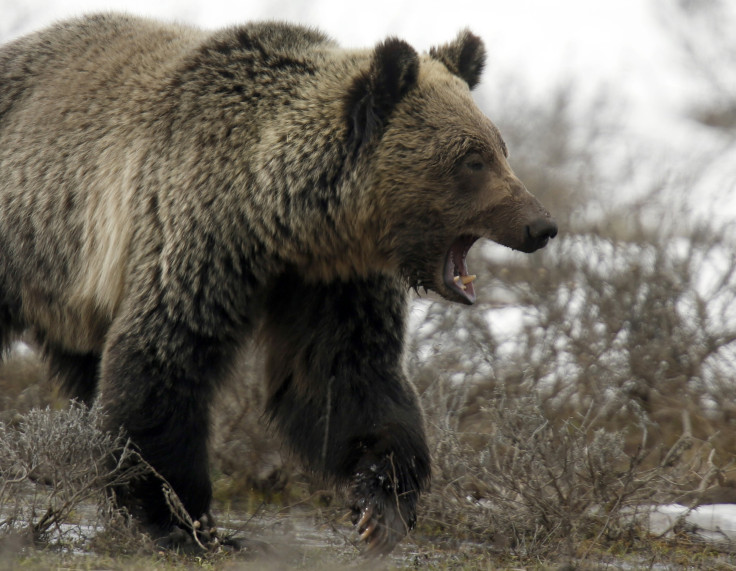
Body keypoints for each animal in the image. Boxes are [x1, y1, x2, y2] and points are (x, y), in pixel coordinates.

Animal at [0, 13, 556, 556]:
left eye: (500, 148)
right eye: (472, 160)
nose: (541, 225)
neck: (280, 219)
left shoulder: (331, 280)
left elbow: (344, 375)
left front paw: (381, 506)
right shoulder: (197, 238)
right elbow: (164, 360)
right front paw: (181, 519)